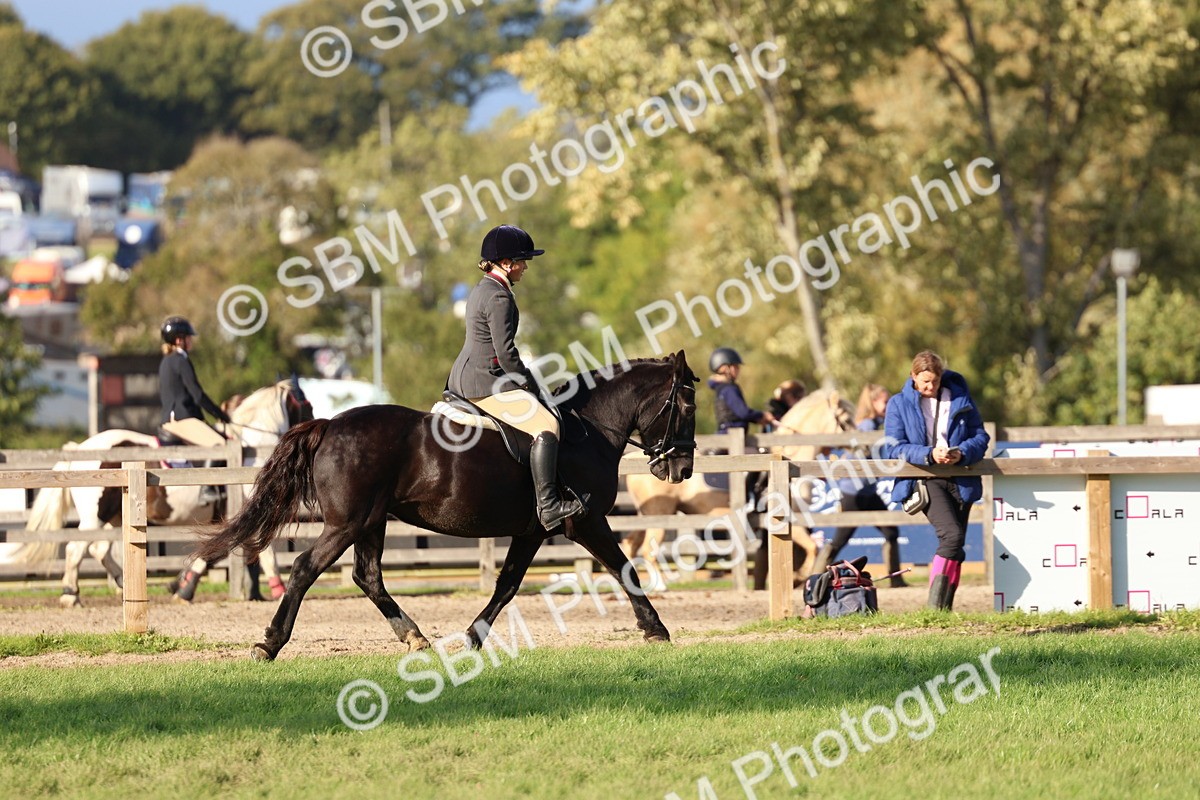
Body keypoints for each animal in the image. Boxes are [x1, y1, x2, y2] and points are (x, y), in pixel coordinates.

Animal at [8, 379, 312, 606]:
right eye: (306, 405)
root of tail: (80, 449)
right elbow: (255, 553)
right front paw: (277, 589)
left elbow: (226, 552)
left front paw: (180, 585)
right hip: (95, 517)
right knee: (75, 549)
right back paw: (71, 595)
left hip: (114, 517)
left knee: (99, 549)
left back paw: (123, 584)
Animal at [193, 353, 698, 660]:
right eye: (689, 407)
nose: (682, 469)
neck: (588, 431)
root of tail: (331, 425)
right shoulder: (586, 521)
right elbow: (624, 568)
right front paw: (656, 629)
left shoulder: (532, 531)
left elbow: (507, 585)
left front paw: (474, 637)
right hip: (347, 522)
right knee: (305, 569)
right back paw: (270, 643)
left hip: (371, 521)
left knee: (367, 576)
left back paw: (414, 637)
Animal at [623, 388, 855, 587]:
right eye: (846, 419)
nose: (858, 443)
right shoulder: (792, 520)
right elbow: (812, 547)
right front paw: (799, 577)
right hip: (659, 516)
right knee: (647, 549)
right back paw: (661, 586)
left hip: (645, 515)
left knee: (630, 544)